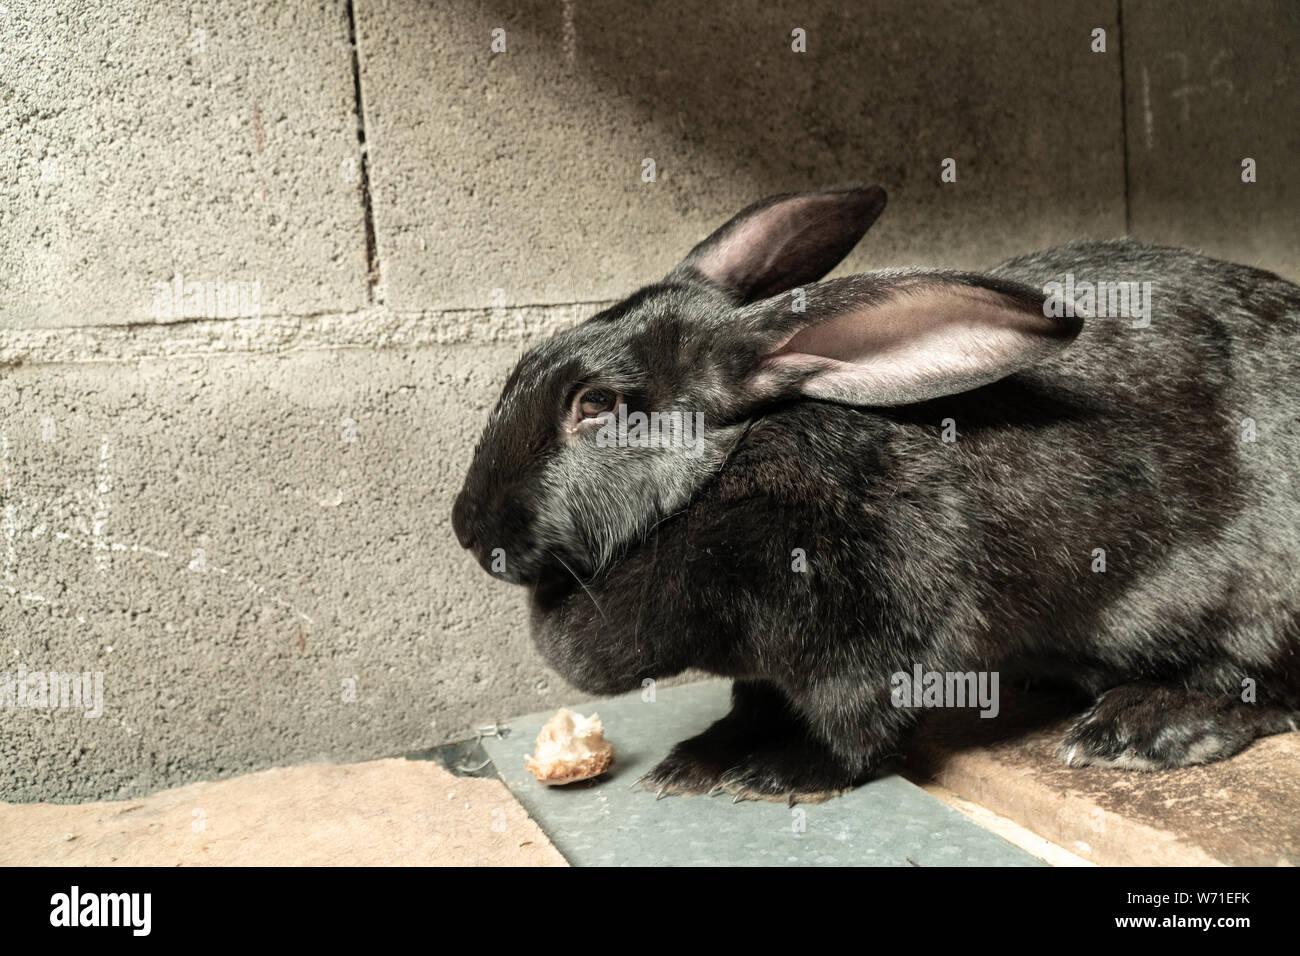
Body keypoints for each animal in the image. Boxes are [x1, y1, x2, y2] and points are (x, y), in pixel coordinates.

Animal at [452, 184, 1300, 803]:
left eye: (596, 404)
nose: (468, 529)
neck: (725, 472)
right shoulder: (762, 666)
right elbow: (752, 703)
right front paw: (695, 760)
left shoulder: (879, 629)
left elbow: (856, 726)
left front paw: (780, 775)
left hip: (1262, 601)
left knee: (1264, 688)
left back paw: (1137, 727)